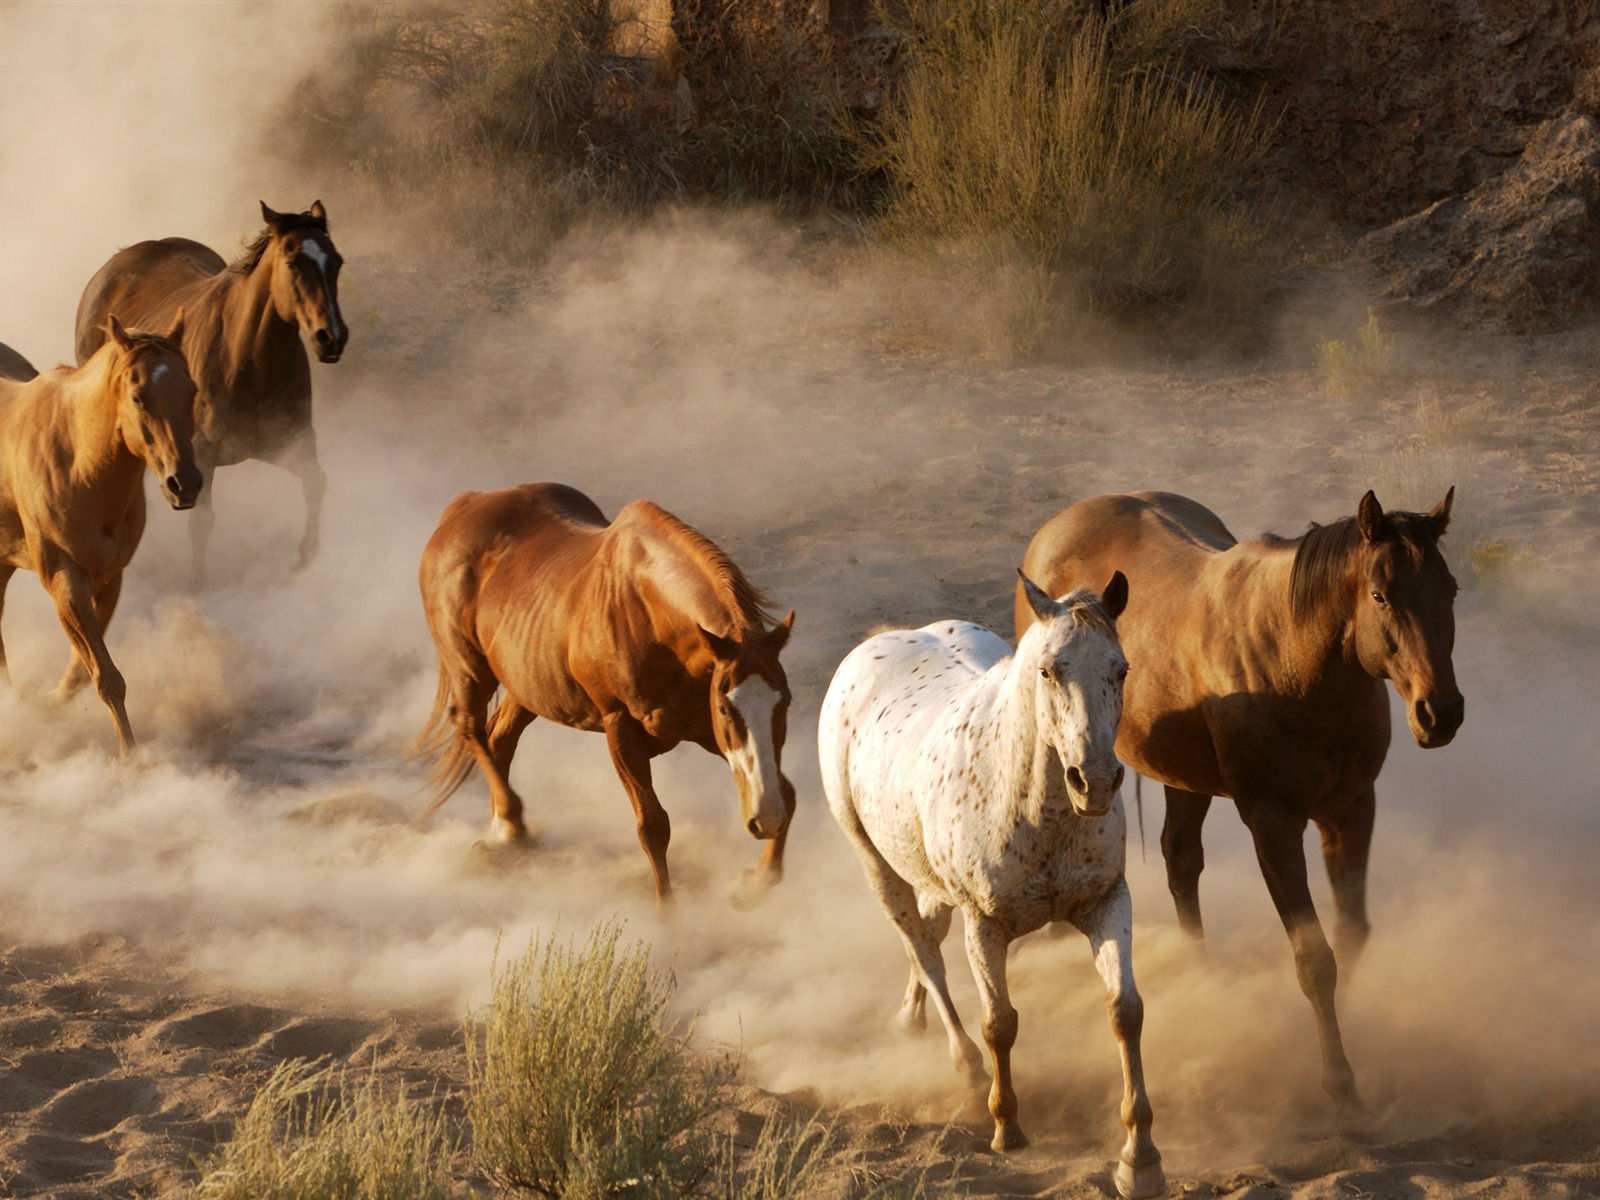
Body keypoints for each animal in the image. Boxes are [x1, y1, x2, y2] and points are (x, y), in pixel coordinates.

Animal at [0, 315, 203, 755]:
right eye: (139, 397)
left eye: (191, 390)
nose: (185, 484)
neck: (77, 462)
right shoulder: (65, 581)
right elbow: (106, 678)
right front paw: (130, 757)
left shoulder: (109, 580)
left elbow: (82, 675)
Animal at [74, 200, 347, 579]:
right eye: (293, 264)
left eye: (336, 261)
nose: (331, 337)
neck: (247, 360)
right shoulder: (199, 458)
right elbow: (201, 524)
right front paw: (198, 582)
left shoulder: (293, 443)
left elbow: (316, 482)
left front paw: (306, 559)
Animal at [419, 483, 800, 908]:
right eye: (724, 707)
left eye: (785, 702)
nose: (765, 819)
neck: (649, 615)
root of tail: (465, 505)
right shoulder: (621, 727)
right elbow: (653, 826)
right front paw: (668, 915)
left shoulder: (704, 731)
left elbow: (786, 792)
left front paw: (755, 882)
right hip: (469, 670)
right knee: (470, 727)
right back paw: (510, 827)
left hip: (525, 686)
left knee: (499, 739)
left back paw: (504, 834)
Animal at [1024, 489, 1465, 1126]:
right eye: (1381, 595)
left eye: (1449, 589)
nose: (1441, 713)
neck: (1298, 663)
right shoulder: (1273, 825)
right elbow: (1315, 958)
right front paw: (1339, 1082)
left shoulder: (1351, 810)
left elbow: (1351, 934)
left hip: (1182, 775)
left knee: (1181, 861)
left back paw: (1204, 978)